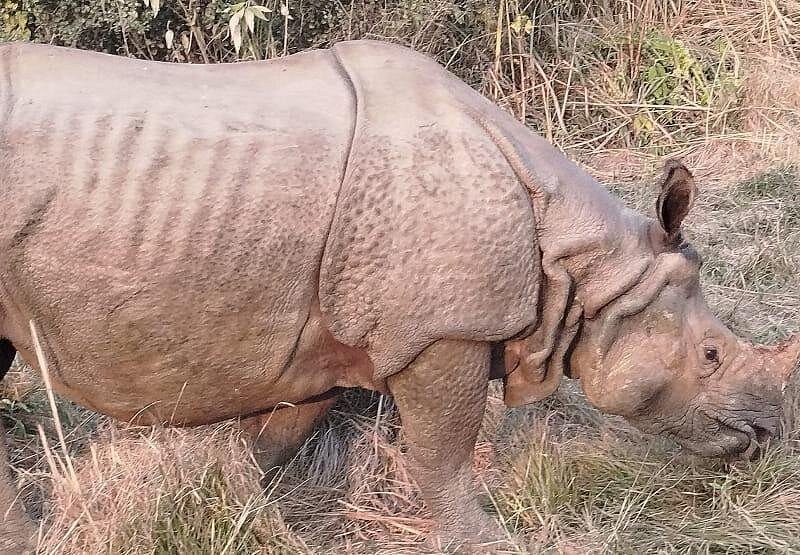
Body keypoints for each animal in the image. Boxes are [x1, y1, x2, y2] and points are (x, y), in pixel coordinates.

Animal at [0, 39, 798, 552]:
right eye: (711, 353)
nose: (765, 439)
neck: (587, 263)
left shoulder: (312, 334)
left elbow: (273, 439)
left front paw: (242, 511)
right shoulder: (445, 329)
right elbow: (444, 446)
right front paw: (486, 540)